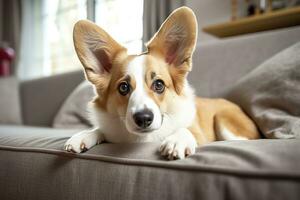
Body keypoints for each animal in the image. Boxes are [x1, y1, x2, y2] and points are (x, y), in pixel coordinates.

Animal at [63, 7, 260, 159]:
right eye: (123, 87)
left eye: (159, 85)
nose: (143, 118)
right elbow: (100, 129)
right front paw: (84, 136)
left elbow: (186, 129)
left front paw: (177, 140)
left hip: (225, 121)